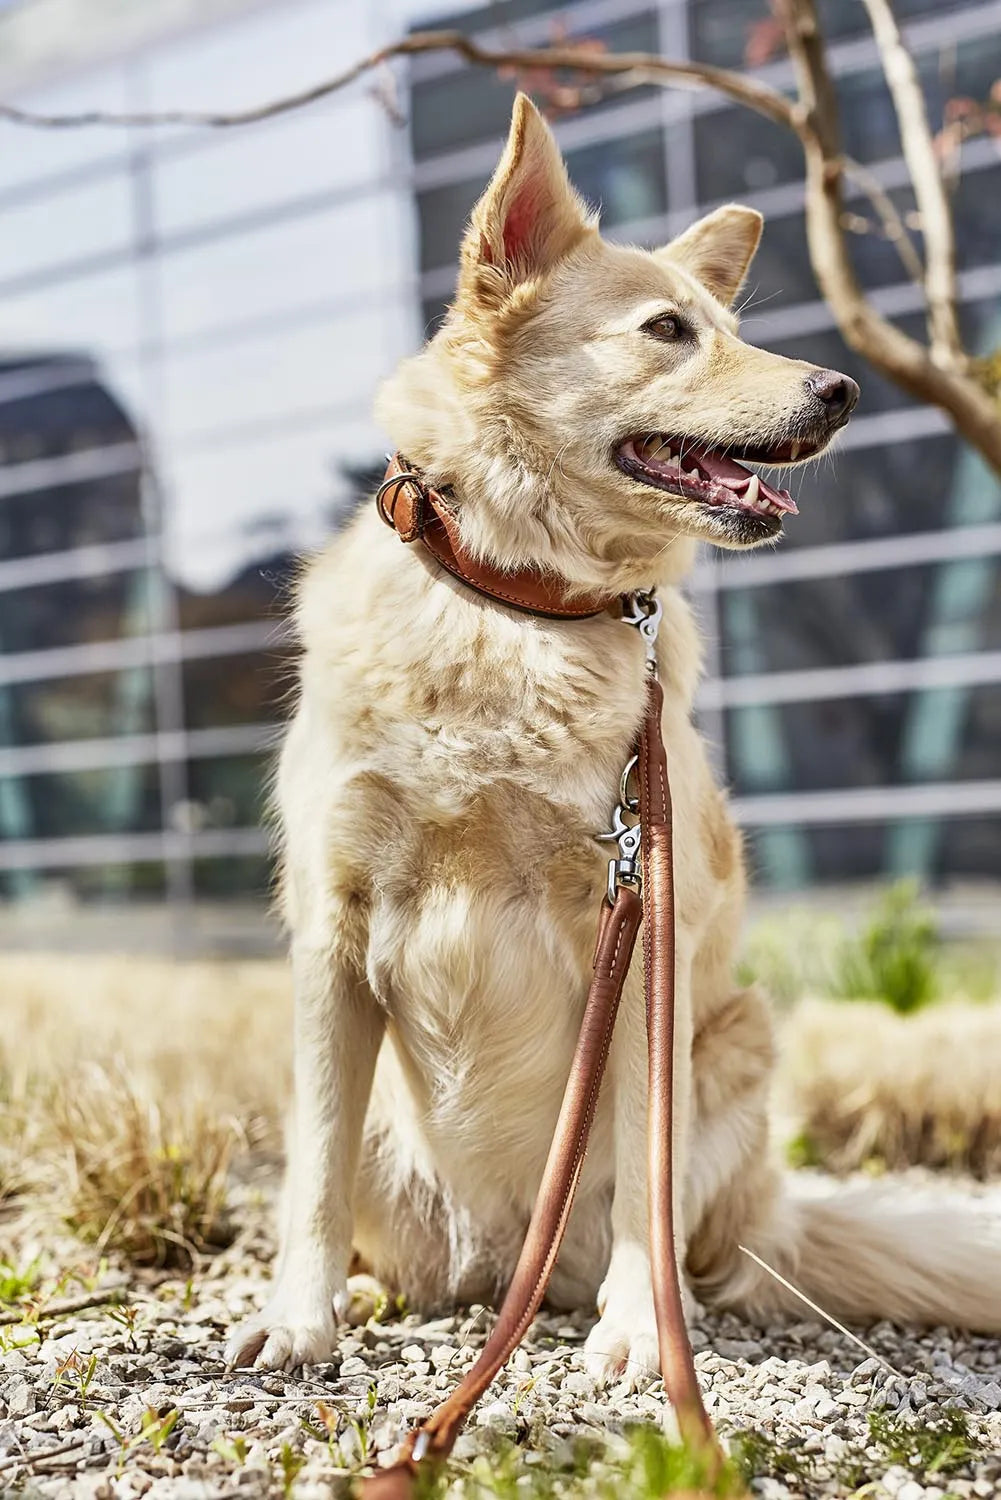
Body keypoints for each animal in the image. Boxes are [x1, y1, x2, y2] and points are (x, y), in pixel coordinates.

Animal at [226, 96, 1001, 1380]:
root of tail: (508, 1260)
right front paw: (298, 1318)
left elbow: (642, 1159)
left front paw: (641, 1333)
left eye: (729, 328)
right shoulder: (329, 934)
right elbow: (313, 1176)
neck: (517, 606)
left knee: (698, 1242)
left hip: (733, 1048)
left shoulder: (639, 931)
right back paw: (389, 1297)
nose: (840, 388)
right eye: (666, 329)